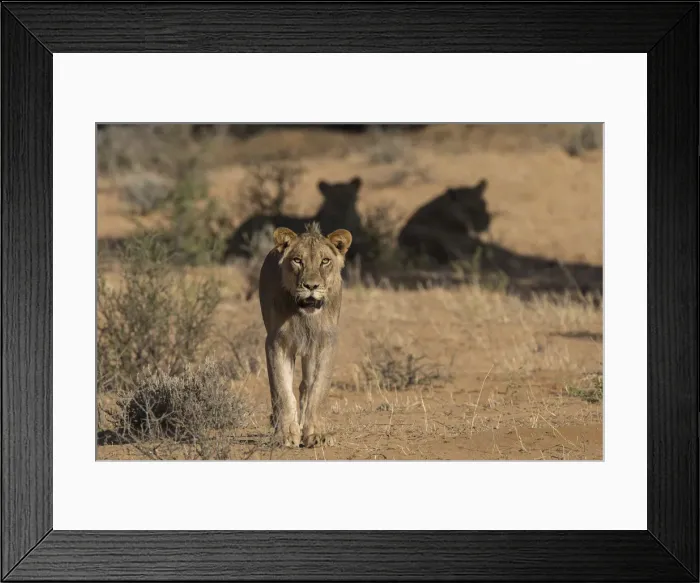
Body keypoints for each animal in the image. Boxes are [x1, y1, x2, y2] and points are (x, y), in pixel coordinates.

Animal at [258, 221, 352, 448]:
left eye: (325, 261)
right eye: (297, 260)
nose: (311, 286)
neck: (305, 317)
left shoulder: (326, 343)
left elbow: (318, 390)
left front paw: (315, 434)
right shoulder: (276, 343)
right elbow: (282, 390)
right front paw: (285, 434)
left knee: (305, 387)